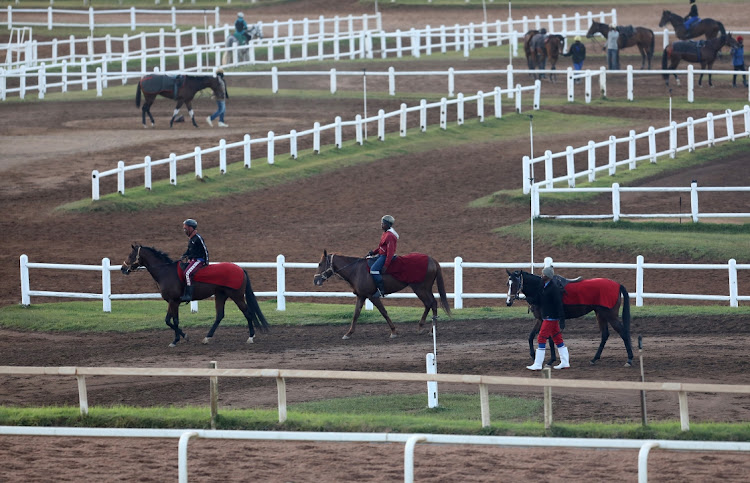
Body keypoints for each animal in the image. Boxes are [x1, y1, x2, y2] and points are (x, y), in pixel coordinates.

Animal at [123, 246, 274, 348]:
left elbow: (172, 321)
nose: (123, 269)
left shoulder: (174, 301)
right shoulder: (172, 302)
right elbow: (170, 320)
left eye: (130, 255)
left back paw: (250, 337)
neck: (166, 271)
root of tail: (241, 269)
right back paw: (207, 337)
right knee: (220, 315)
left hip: (237, 296)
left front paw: (180, 338)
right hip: (221, 296)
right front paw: (180, 338)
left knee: (248, 313)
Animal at [312, 251, 452, 338]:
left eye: (320, 264)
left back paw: (431, 330)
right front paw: (349, 333)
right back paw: (422, 327)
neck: (356, 270)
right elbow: (356, 314)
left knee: (431, 303)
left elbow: (383, 312)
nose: (315, 280)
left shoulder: (372, 296)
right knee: (430, 304)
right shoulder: (361, 296)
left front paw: (394, 331)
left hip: (421, 289)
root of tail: (431, 259)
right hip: (424, 289)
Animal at [506, 270, 636, 368]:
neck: (542, 290)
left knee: (623, 332)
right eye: (508, 283)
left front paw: (551, 360)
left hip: (610, 315)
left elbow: (550, 339)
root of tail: (617, 285)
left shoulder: (548, 318)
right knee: (605, 334)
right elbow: (531, 336)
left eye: (515, 283)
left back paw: (629, 359)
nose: (508, 302)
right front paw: (534, 355)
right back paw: (594, 359)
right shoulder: (541, 319)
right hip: (600, 314)